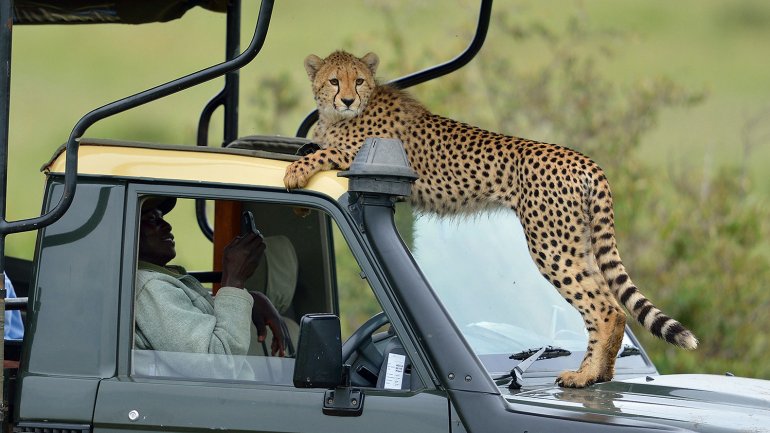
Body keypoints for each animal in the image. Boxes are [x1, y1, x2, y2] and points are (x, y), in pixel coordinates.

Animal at [284, 50, 700, 388]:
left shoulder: (360, 153)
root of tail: (584, 158)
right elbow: (314, 143)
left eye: (358, 80)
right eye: (334, 80)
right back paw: (600, 374)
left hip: (552, 246)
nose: (348, 99)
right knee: (611, 306)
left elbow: (322, 151)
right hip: (575, 242)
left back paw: (583, 376)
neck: (345, 113)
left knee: (605, 308)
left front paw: (294, 171)